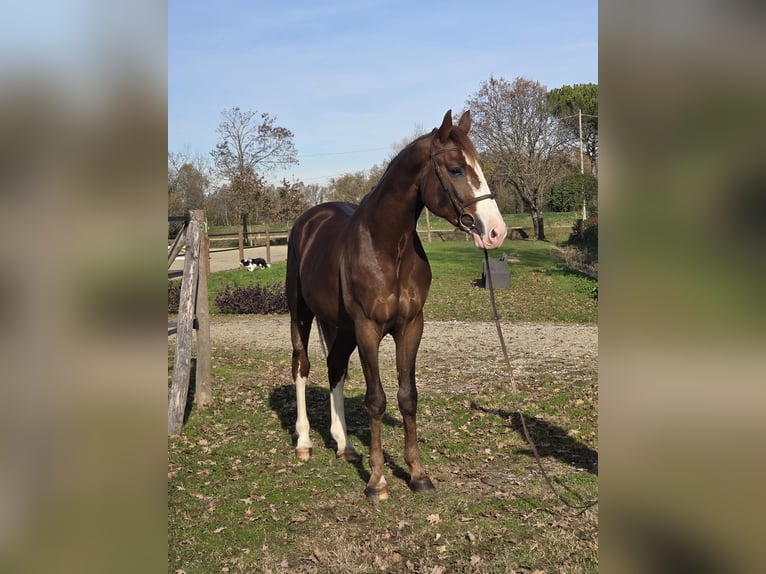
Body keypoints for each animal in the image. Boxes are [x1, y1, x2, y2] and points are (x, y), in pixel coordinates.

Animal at [285, 110, 507, 500]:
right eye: (455, 169)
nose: (495, 231)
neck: (387, 245)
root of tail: (308, 221)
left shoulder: (411, 326)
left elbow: (408, 396)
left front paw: (418, 474)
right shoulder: (368, 329)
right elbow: (376, 399)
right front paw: (377, 480)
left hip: (340, 327)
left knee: (335, 368)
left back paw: (344, 445)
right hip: (302, 314)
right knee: (302, 366)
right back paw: (304, 442)